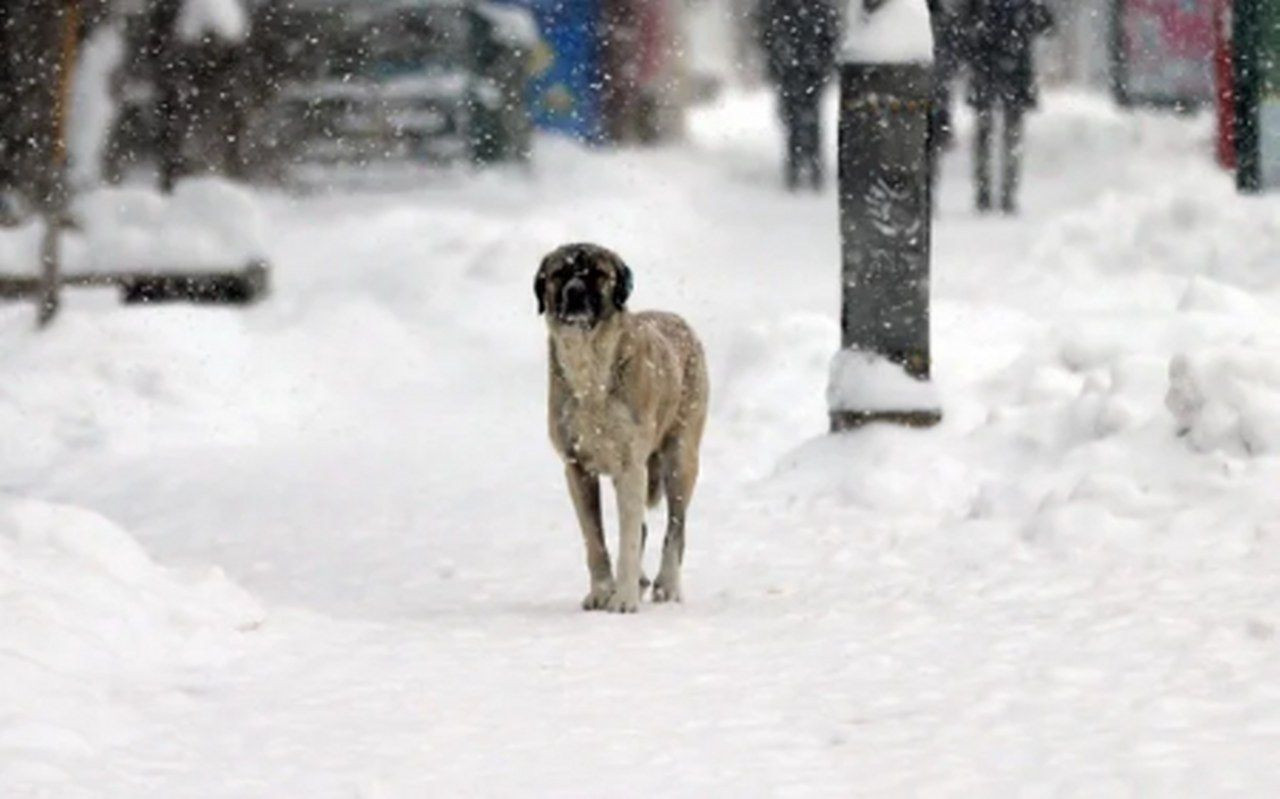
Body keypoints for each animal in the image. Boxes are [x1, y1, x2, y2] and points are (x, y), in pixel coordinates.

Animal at [532, 242, 711, 612]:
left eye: (598, 274)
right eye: (560, 273)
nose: (574, 292)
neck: (590, 369)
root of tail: (678, 320)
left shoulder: (631, 466)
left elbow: (627, 541)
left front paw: (624, 599)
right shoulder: (577, 468)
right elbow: (595, 540)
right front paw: (603, 592)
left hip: (680, 459)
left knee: (676, 527)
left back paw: (667, 585)